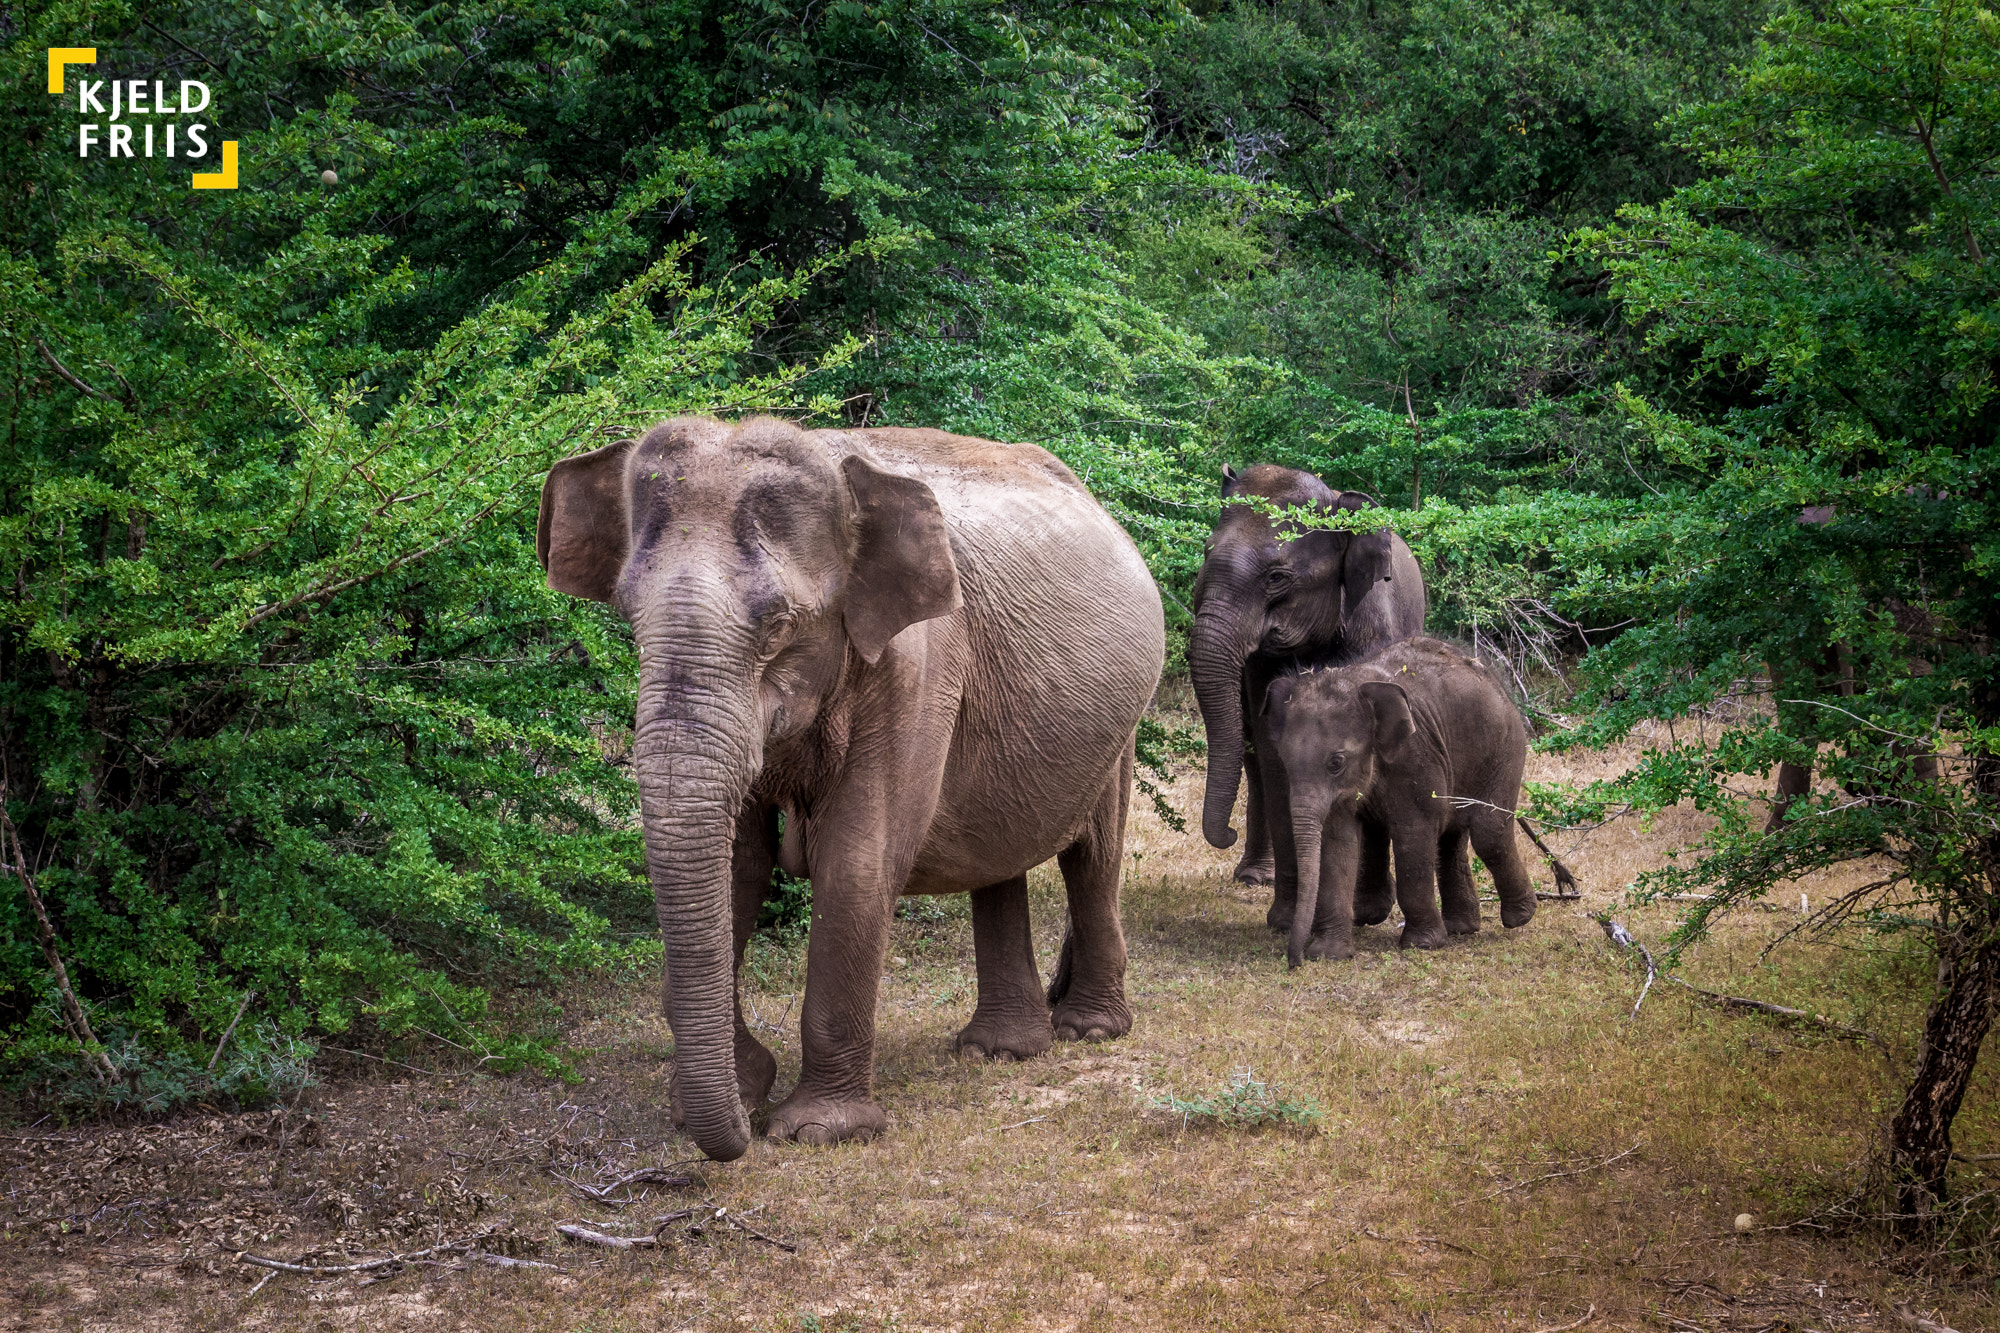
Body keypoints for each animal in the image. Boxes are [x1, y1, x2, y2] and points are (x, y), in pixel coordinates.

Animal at [537, 416, 1165, 1160]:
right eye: (629, 620)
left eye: (779, 625)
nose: (738, 1134)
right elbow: (740, 866)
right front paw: (732, 1094)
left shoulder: (918, 664)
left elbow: (858, 861)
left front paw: (817, 1131)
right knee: (999, 857)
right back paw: (1001, 1050)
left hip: (1122, 723)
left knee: (1093, 855)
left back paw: (1087, 1031)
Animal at [1186, 464, 1427, 932]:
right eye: (1206, 554)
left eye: (1277, 577)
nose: (1226, 835)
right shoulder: (1261, 666)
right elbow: (1275, 750)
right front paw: (1285, 921)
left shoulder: (1376, 625)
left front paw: (1367, 914)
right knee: (1253, 758)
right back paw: (1254, 877)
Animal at [1261, 638, 1535, 966]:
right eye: (1284, 761)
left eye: (1336, 762)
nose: (1294, 962)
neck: (1356, 682)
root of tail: (1495, 678)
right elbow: (1338, 841)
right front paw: (1329, 955)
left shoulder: (1416, 756)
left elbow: (1413, 832)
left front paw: (1423, 945)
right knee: (1452, 834)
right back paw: (1461, 928)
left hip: (1506, 746)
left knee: (1488, 831)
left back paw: (1520, 917)